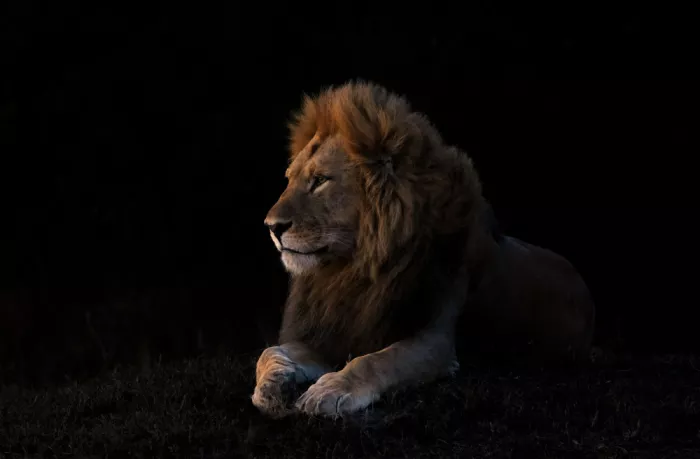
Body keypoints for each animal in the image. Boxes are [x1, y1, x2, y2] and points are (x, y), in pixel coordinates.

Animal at [252, 80, 596, 418]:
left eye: (320, 180)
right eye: (289, 179)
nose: (271, 226)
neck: (354, 271)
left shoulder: (436, 338)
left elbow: (375, 360)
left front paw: (330, 390)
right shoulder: (334, 331)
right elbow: (269, 351)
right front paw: (272, 384)